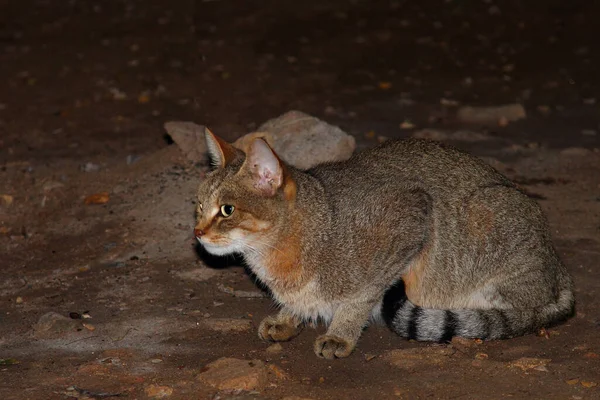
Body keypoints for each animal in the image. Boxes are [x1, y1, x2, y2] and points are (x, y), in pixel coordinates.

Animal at [195, 130, 576, 360]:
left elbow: (361, 297)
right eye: (198, 206)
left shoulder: (412, 215)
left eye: (227, 210)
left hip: (486, 223)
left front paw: (341, 332)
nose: (197, 233)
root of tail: (560, 270)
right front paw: (291, 315)